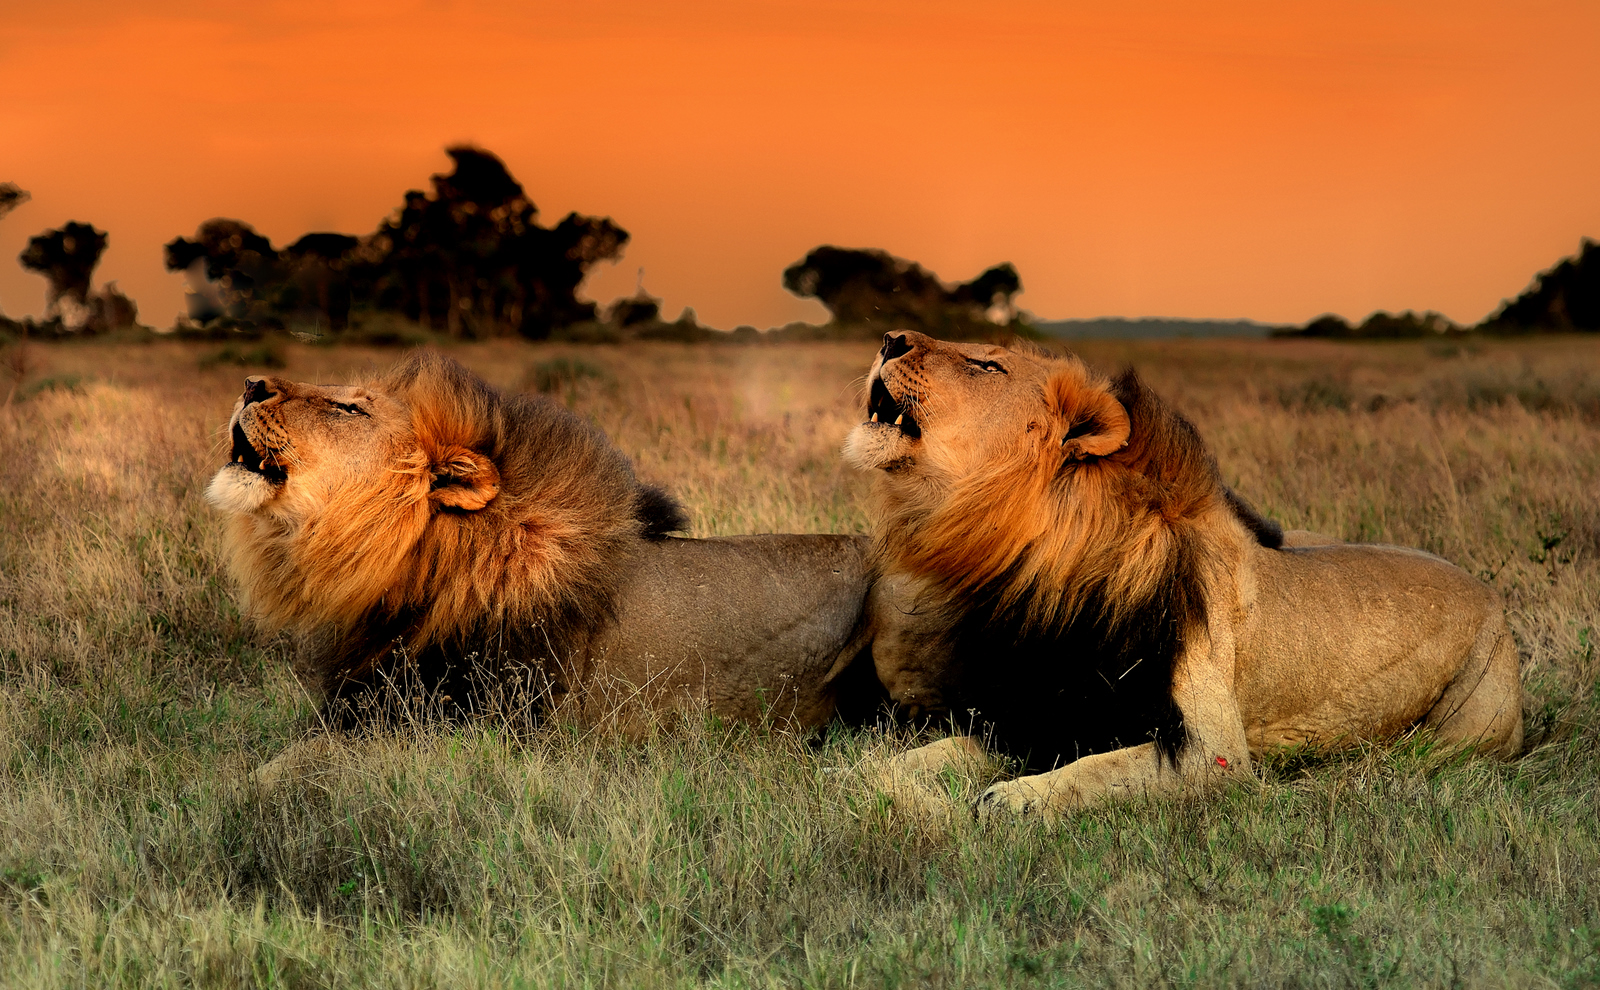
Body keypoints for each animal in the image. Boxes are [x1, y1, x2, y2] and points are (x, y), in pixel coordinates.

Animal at [844, 329, 1516, 818]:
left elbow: (1099, 769)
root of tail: (1489, 591)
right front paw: (872, 776)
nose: (889, 338)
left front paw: (1016, 797)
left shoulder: (1214, 752)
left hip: (1466, 727)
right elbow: (915, 757)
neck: (1051, 568)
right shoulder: (1035, 708)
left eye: (987, 366)